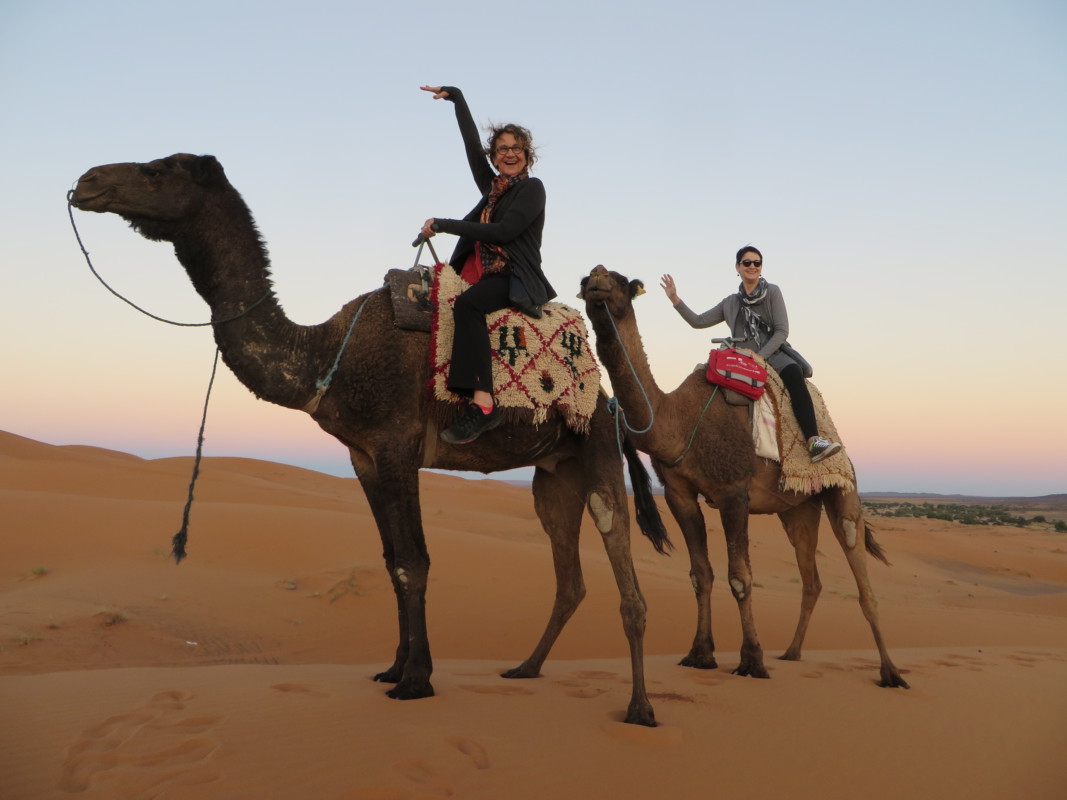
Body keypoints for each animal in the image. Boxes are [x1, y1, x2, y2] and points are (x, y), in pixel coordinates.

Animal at [69, 154, 673, 726]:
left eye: (156, 169)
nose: (87, 182)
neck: (325, 358)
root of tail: (611, 402)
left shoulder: (397, 444)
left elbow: (414, 561)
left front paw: (417, 680)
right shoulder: (363, 457)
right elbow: (389, 561)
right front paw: (393, 668)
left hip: (597, 450)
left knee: (628, 579)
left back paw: (641, 709)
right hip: (554, 475)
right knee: (569, 577)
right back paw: (525, 668)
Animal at [580, 265, 908, 688]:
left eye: (621, 280)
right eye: (586, 279)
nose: (596, 281)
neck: (679, 421)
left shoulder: (733, 492)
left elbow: (740, 577)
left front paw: (752, 660)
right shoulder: (679, 494)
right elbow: (700, 574)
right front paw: (700, 654)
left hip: (843, 488)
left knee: (861, 575)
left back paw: (891, 672)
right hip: (797, 509)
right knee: (811, 578)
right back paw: (792, 652)